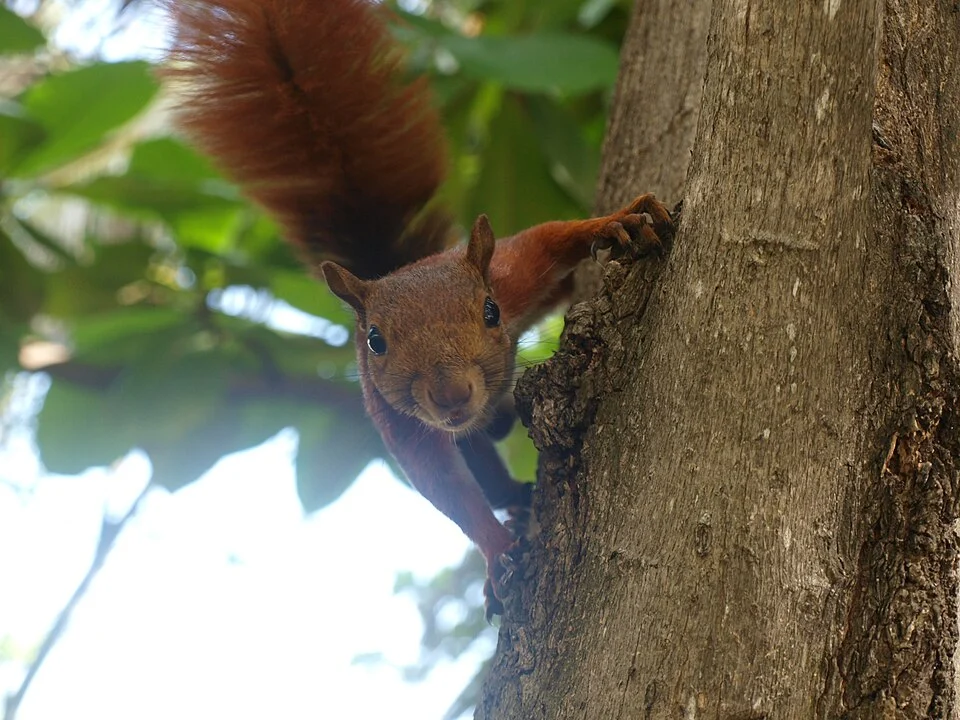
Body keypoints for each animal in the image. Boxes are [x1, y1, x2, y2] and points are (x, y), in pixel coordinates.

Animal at [164, 0, 674, 615]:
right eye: (375, 341)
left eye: (490, 312)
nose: (451, 396)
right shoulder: (396, 417)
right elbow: (444, 486)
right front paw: (497, 551)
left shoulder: (514, 272)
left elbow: (552, 238)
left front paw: (617, 221)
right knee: (478, 452)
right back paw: (514, 495)